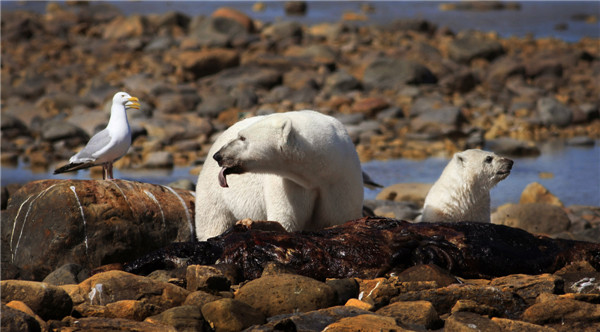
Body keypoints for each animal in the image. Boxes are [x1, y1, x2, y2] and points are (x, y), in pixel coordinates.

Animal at [196, 110, 366, 240]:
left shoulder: (340, 180)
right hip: (214, 193)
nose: (219, 155)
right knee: (213, 220)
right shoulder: (289, 184)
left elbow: (340, 217)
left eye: (242, 137)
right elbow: (287, 218)